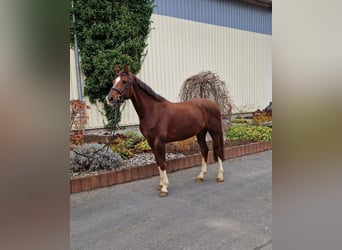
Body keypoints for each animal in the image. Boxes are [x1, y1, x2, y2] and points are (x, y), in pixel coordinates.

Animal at [107, 66, 224, 197]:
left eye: (124, 81)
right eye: (113, 81)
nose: (110, 98)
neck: (153, 111)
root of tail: (214, 104)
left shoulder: (159, 142)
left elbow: (163, 163)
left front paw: (164, 188)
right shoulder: (151, 142)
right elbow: (158, 162)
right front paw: (161, 184)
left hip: (214, 132)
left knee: (218, 150)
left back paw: (220, 177)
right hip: (200, 133)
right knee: (204, 150)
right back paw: (201, 176)